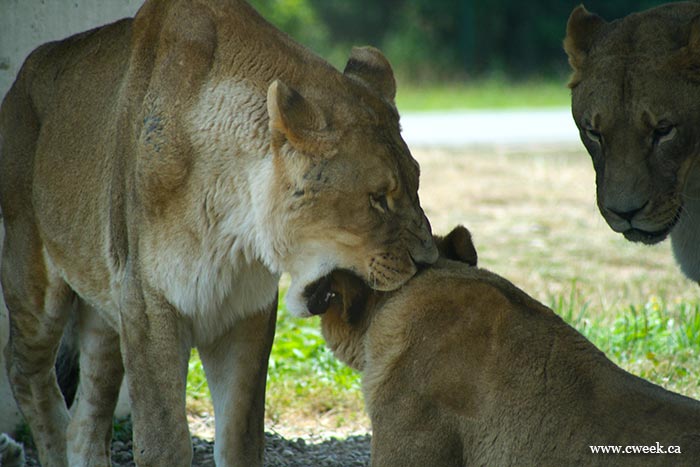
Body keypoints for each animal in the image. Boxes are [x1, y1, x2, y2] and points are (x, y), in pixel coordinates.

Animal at [0, 0, 438, 465]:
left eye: (416, 182)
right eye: (378, 198)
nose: (427, 260)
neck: (234, 225)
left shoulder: (245, 315)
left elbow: (240, 438)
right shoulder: (147, 305)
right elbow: (162, 441)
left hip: (105, 314)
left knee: (85, 423)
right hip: (34, 279)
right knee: (25, 373)